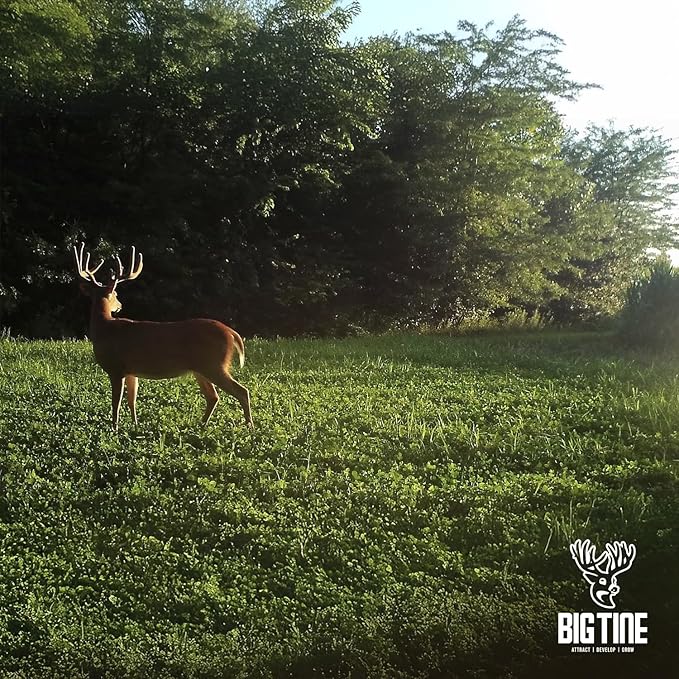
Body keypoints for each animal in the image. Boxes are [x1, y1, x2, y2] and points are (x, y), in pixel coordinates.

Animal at [73, 242, 253, 431]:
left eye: (115, 294)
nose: (120, 306)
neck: (104, 328)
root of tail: (232, 333)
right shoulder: (131, 370)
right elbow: (132, 400)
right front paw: (135, 424)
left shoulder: (117, 368)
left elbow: (116, 402)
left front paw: (114, 428)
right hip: (201, 368)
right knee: (213, 396)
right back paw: (200, 425)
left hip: (214, 364)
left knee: (241, 391)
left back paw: (249, 426)